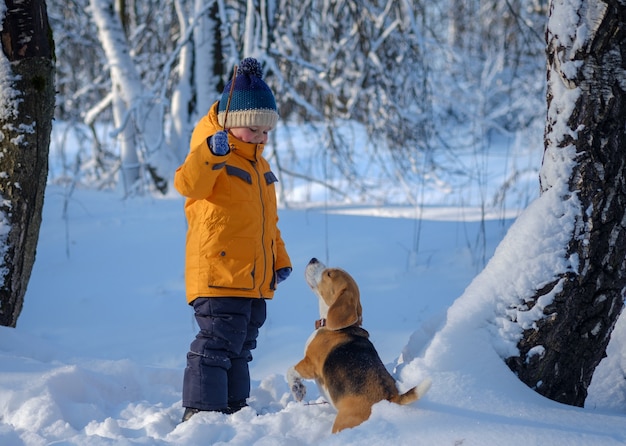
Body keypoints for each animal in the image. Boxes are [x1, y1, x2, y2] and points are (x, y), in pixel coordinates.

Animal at [286, 258, 428, 432]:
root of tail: (390, 398)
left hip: (342, 423)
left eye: (329, 274)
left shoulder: (310, 364)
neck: (338, 327)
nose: (313, 259)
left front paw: (297, 389)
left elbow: (290, 371)